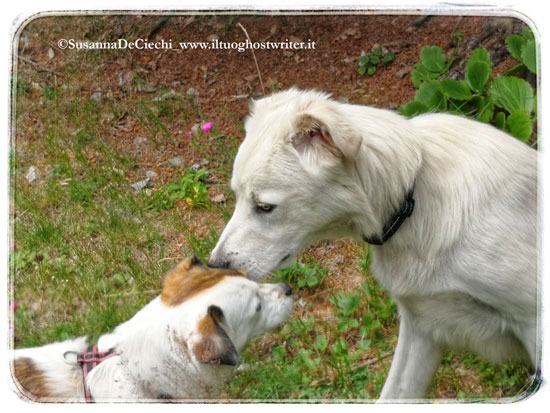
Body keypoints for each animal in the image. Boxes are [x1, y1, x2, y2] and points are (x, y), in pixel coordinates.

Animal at [210, 87, 540, 400]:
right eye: (236, 197)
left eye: (265, 207)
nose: (215, 265)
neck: (412, 200)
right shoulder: (421, 328)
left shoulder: (532, 323)